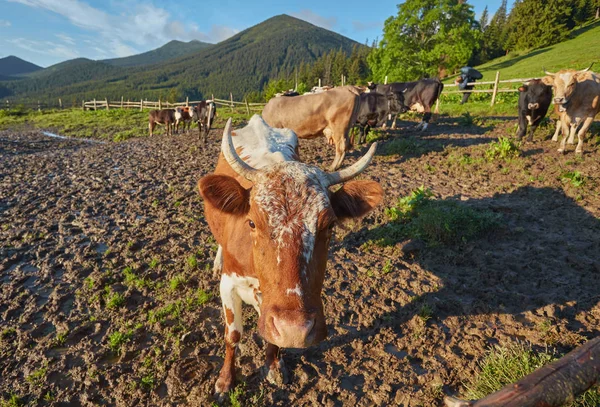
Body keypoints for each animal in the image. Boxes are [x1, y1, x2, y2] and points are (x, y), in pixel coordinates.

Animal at [198, 115, 384, 398]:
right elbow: (233, 335)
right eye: (251, 223)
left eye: (330, 225)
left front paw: (274, 365)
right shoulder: (228, 285)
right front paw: (225, 380)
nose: (295, 330)